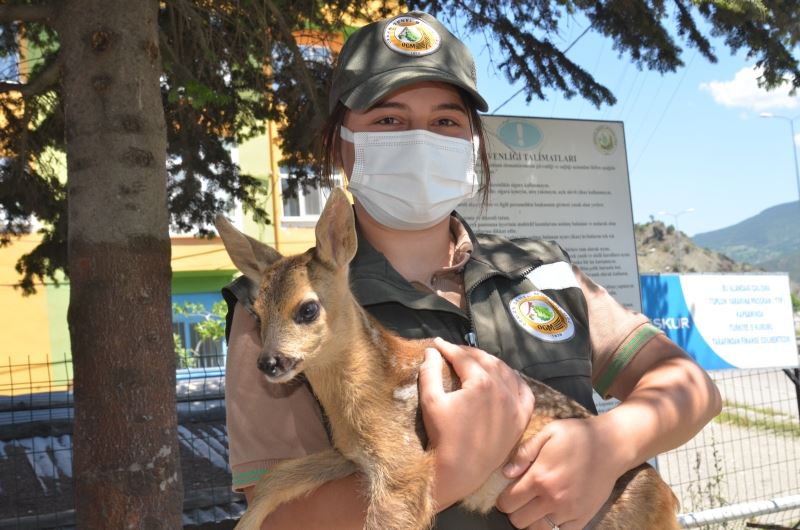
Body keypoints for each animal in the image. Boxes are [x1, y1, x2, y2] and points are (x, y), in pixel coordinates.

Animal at [216, 188, 680, 524]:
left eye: (308, 309)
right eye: (257, 314)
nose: (268, 363)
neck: (372, 388)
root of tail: (670, 501)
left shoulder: (404, 463)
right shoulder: (352, 455)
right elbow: (277, 477)